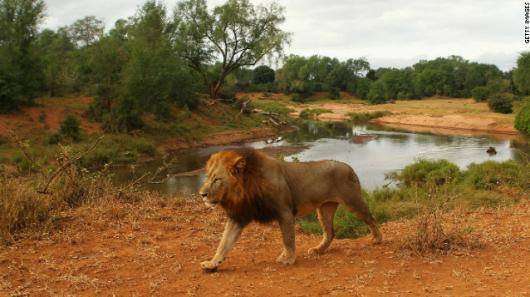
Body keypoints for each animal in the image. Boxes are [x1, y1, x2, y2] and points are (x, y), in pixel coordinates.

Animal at [198, 147, 380, 272]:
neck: (245, 190)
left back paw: (377, 240)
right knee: (330, 232)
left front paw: (288, 259)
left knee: (371, 218)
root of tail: (348, 166)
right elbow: (224, 243)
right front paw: (212, 263)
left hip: (353, 201)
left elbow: (288, 238)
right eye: (208, 177)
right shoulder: (238, 217)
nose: (202, 194)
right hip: (324, 208)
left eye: (217, 179)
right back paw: (318, 250)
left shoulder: (284, 211)